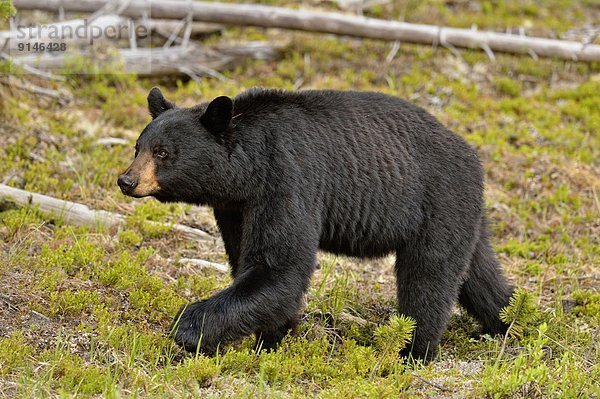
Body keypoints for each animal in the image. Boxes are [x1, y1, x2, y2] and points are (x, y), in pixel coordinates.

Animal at [119, 87, 512, 362]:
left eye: (163, 152)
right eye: (138, 146)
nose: (126, 180)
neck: (247, 172)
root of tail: (471, 154)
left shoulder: (287, 178)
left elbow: (280, 267)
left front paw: (189, 327)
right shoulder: (236, 208)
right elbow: (248, 260)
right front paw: (273, 337)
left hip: (436, 201)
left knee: (428, 277)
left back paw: (414, 351)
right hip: (463, 213)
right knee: (477, 272)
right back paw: (506, 320)